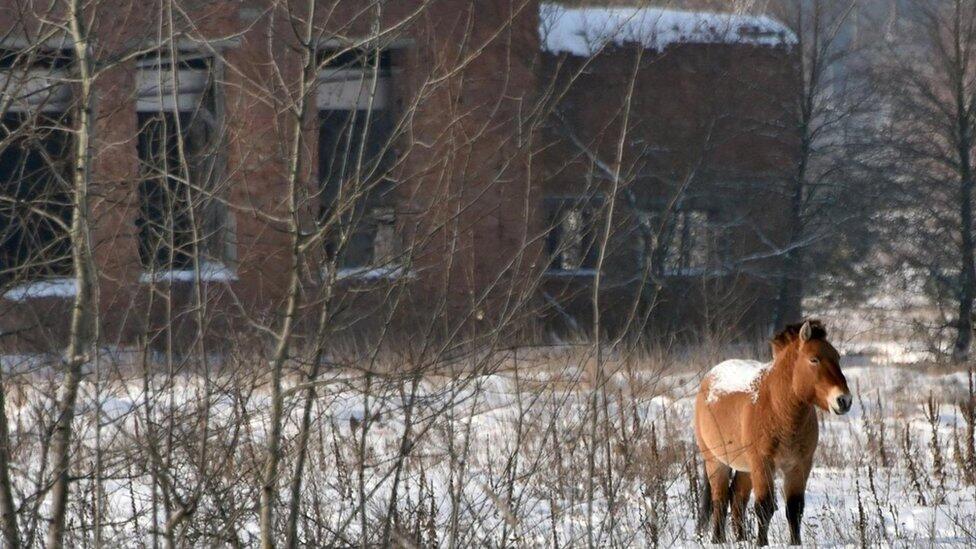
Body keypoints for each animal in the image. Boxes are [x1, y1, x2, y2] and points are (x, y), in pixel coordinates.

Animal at [692, 318, 852, 544]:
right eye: (814, 359)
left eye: (837, 357)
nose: (844, 400)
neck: (779, 410)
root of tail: (709, 378)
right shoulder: (763, 463)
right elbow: (764, 507)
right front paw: (761, 543)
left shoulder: (799, 465)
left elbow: (794, 508)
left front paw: (795, 544)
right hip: (716, 461)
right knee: (720, 500)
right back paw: (718, 540)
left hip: (745, 469)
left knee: (737, 498)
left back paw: (741, 539)